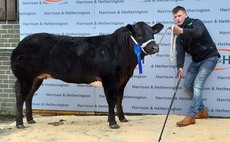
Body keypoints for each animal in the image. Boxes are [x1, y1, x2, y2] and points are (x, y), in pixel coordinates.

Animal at [10, 21, 164, 129]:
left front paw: (122, 118)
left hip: (37, 78)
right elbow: (112, 101)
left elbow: (120, 99)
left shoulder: (122, 81)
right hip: (25, 77)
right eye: (139, 35)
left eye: (153, 34)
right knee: (20, 97)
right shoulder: (110, 80)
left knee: (29, 96)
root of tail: (20, 44)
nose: (155, 47)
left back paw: (30, 120)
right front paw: (113, 123)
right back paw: (20, 124)